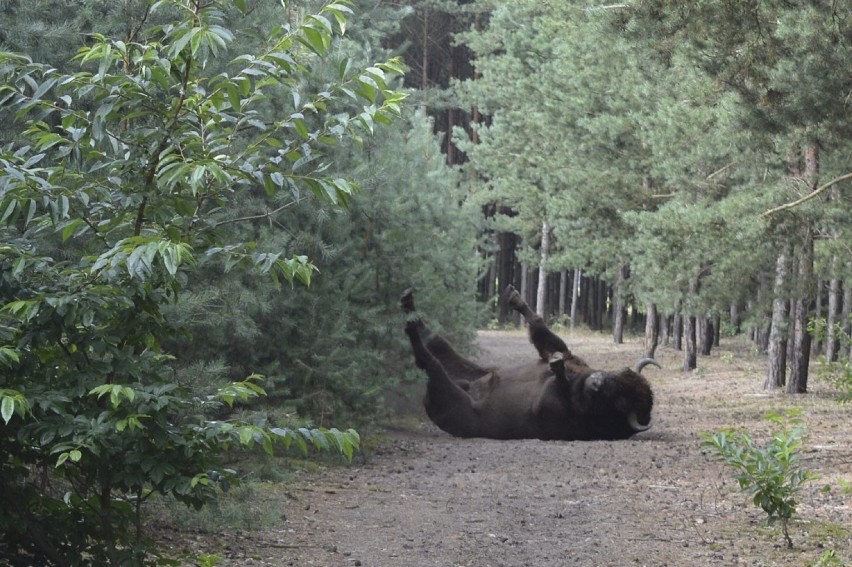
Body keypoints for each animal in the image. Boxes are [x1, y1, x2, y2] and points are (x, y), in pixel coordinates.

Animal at [402, 286, 660, 442]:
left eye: (620, 401)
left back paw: (410, 326)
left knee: (430, 362)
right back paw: (408, 305)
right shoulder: (566, 356)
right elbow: (543, 332)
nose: (598, 382)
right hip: (467, 368)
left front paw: (558, 370)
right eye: (620, 375)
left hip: (451, 398)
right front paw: (515, 298)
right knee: (437, 342)